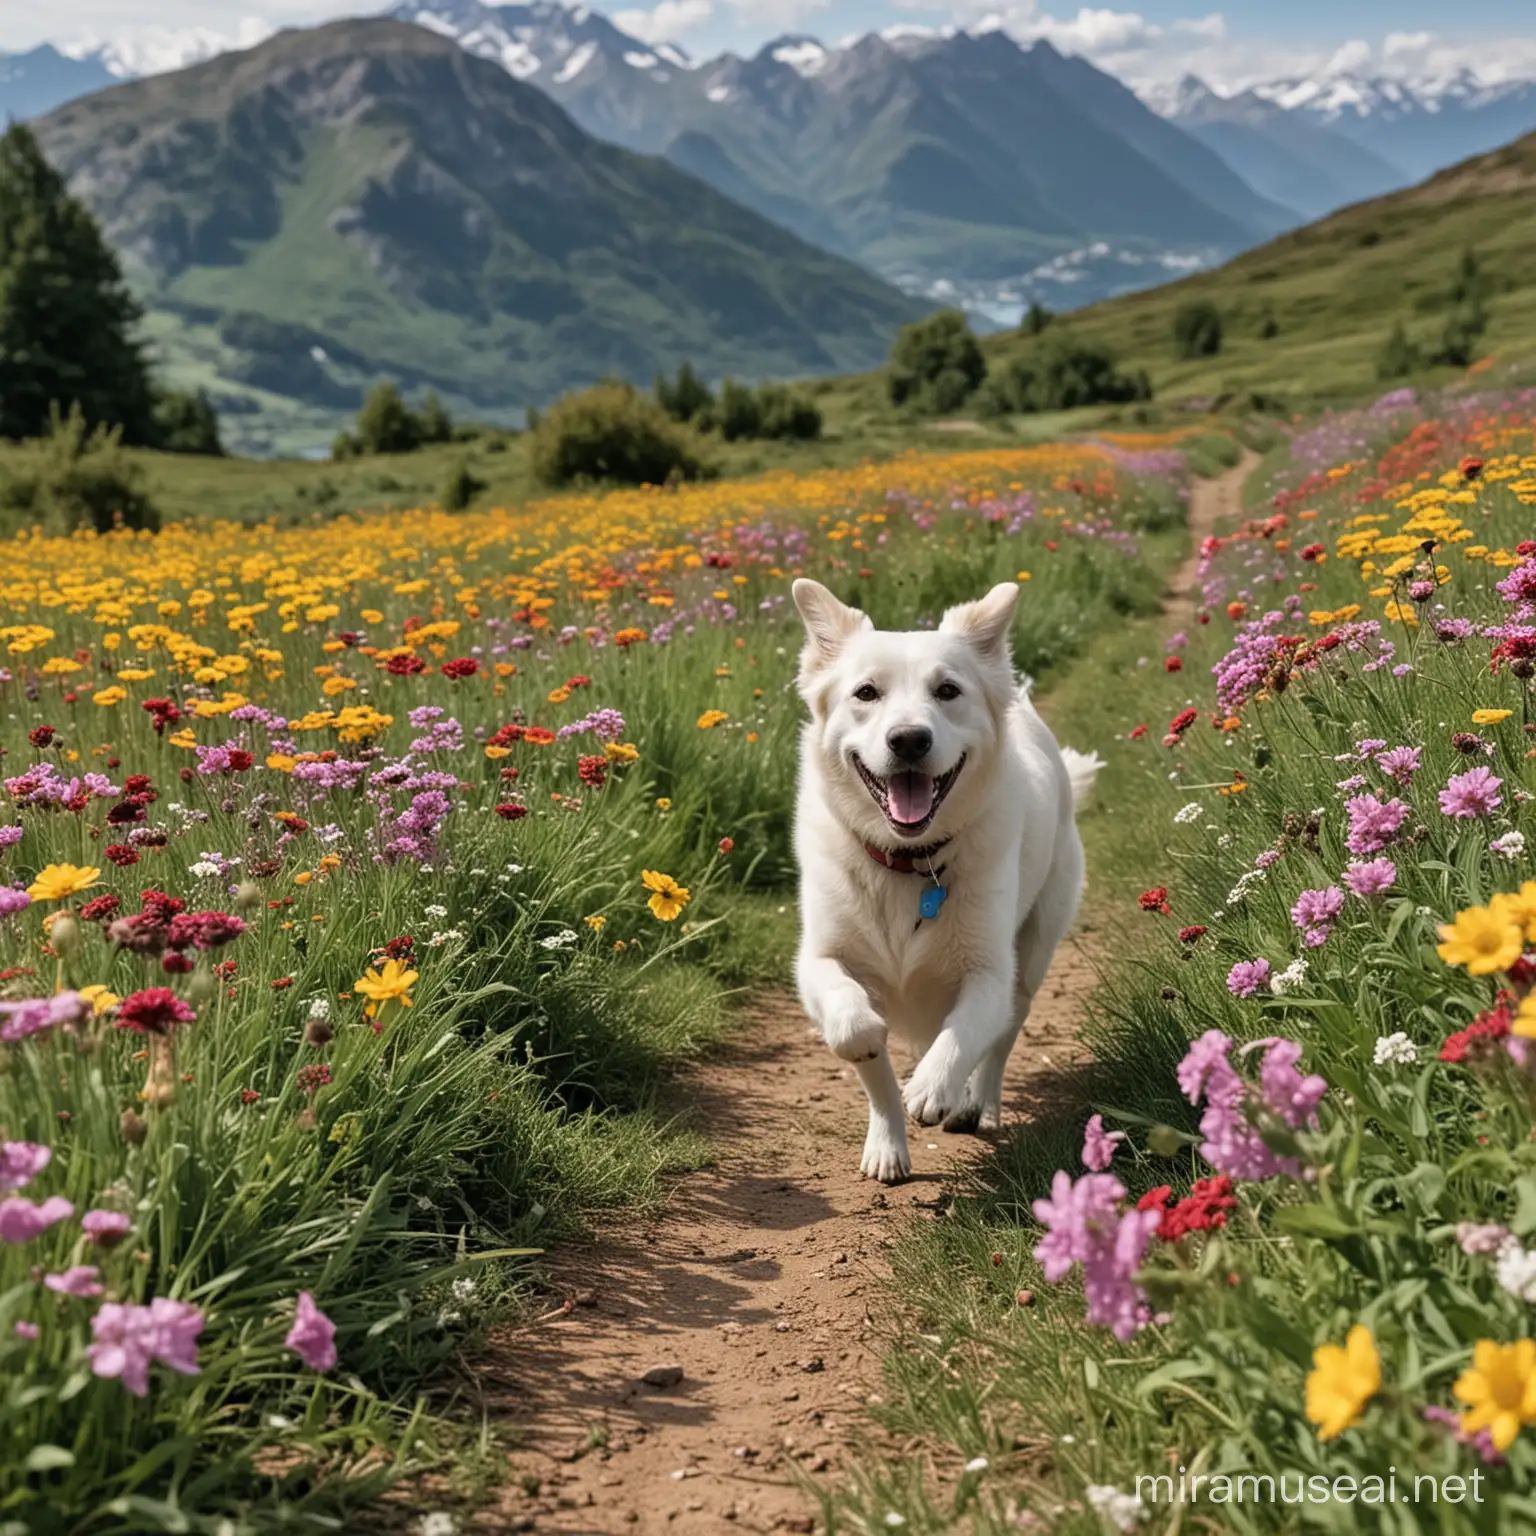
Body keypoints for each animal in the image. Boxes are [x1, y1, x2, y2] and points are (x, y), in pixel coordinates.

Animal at [792, 580, 1105, 1179]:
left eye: (947, 690)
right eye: (866, 692)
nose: (909, 740)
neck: (908, 860)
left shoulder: (990, 974)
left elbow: (964, 1035)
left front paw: (933, 1089)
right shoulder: (820, 959)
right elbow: (862, 1041)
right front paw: (887, 1143)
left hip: (1031, 960)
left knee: (1000, 1043)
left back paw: (976, 1104)